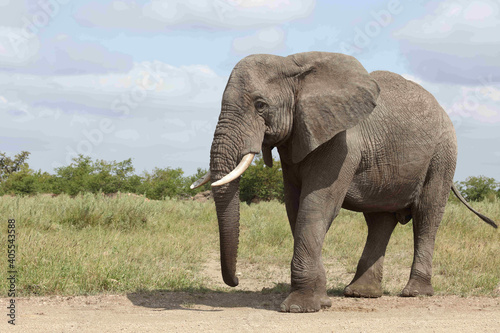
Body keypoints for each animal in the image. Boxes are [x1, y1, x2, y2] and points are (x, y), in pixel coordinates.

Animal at [190, 51, 496, 312]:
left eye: (260, 105)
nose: (236, 281)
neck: (293, 65)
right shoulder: (297, 139)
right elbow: (295, 207)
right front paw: (322, 300)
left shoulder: (342, 142)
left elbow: (317, 205)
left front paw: (300, 307)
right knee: (380, 221)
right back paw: (361, 293)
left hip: (443, 154)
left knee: (427, 215)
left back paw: (414, 293)